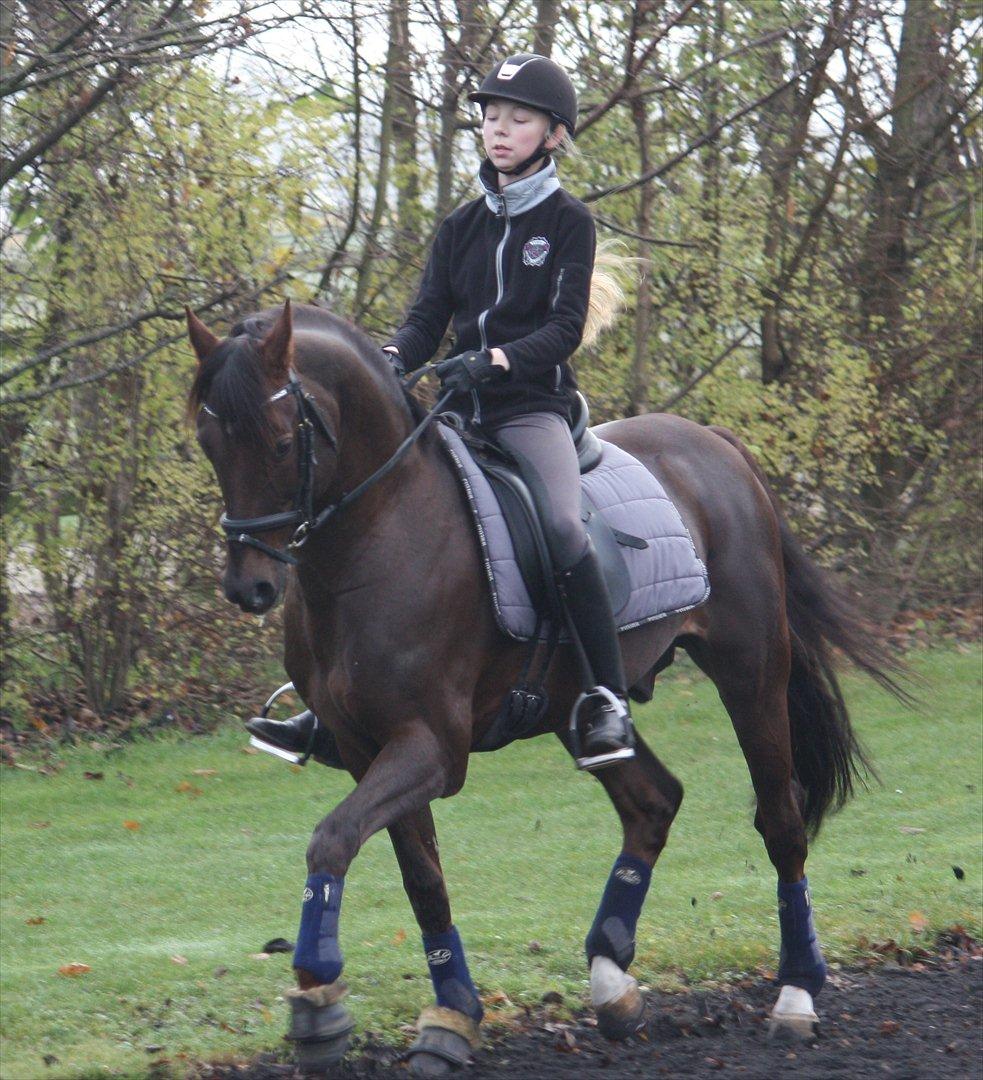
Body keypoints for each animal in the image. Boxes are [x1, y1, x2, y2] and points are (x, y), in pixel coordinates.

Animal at [186, 299, 905, 1076]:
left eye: (283, 442)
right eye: (209, 443)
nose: (249, 588)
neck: (378, 538)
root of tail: (712, 442)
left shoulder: (431, 748)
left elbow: (332, 840)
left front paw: (319, 994)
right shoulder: (362, 746)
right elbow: (421, 880)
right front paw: (451, 1015)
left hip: (751, 672)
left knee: (780, 820)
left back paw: (795, 995)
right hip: (574, 708)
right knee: (653, 803)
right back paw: (612, 983)